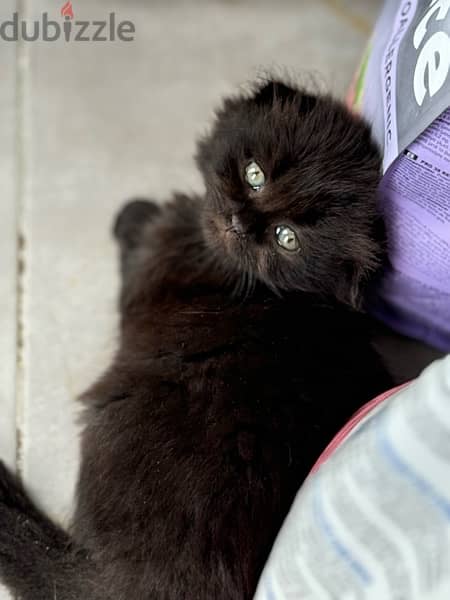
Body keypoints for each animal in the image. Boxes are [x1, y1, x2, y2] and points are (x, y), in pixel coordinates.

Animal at [0, 81, 390, 600]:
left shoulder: (146, 273)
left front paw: (132, 212)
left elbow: (140, 236)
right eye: (255, 175)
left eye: (287, 238)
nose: (241, 222)